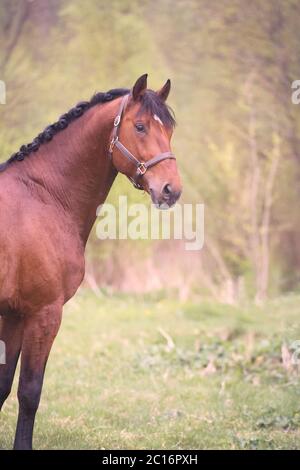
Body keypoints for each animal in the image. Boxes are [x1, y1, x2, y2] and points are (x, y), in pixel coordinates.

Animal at [0, 73, 183, 448]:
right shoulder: (44, 313)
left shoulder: (14, 314)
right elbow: (29, 392)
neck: (42, 196)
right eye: (140, 126)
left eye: (170, 129)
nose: (171, 190)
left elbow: (3, 385)